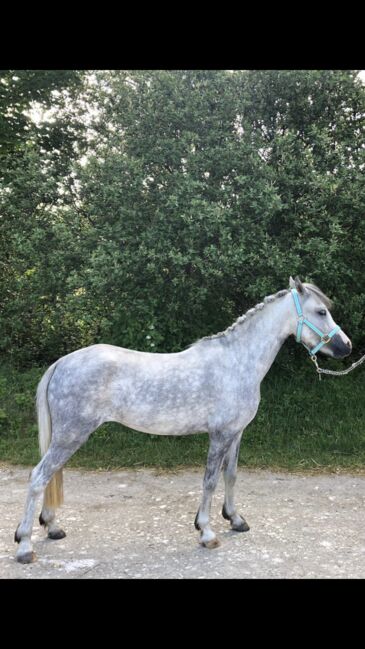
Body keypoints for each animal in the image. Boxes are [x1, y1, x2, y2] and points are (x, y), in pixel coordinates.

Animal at [13, 276, 350, 560]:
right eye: (321, 311)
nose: (345, 346)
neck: (237, 362)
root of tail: (62, 363)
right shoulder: (220, 435)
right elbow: (210, 481)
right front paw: (207, 532)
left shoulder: (236, 433)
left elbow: (231, 475)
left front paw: (235, 519)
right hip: (71, 435)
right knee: (38, 477)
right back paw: (25, 545)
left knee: (48, 478)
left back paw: (52, 528)